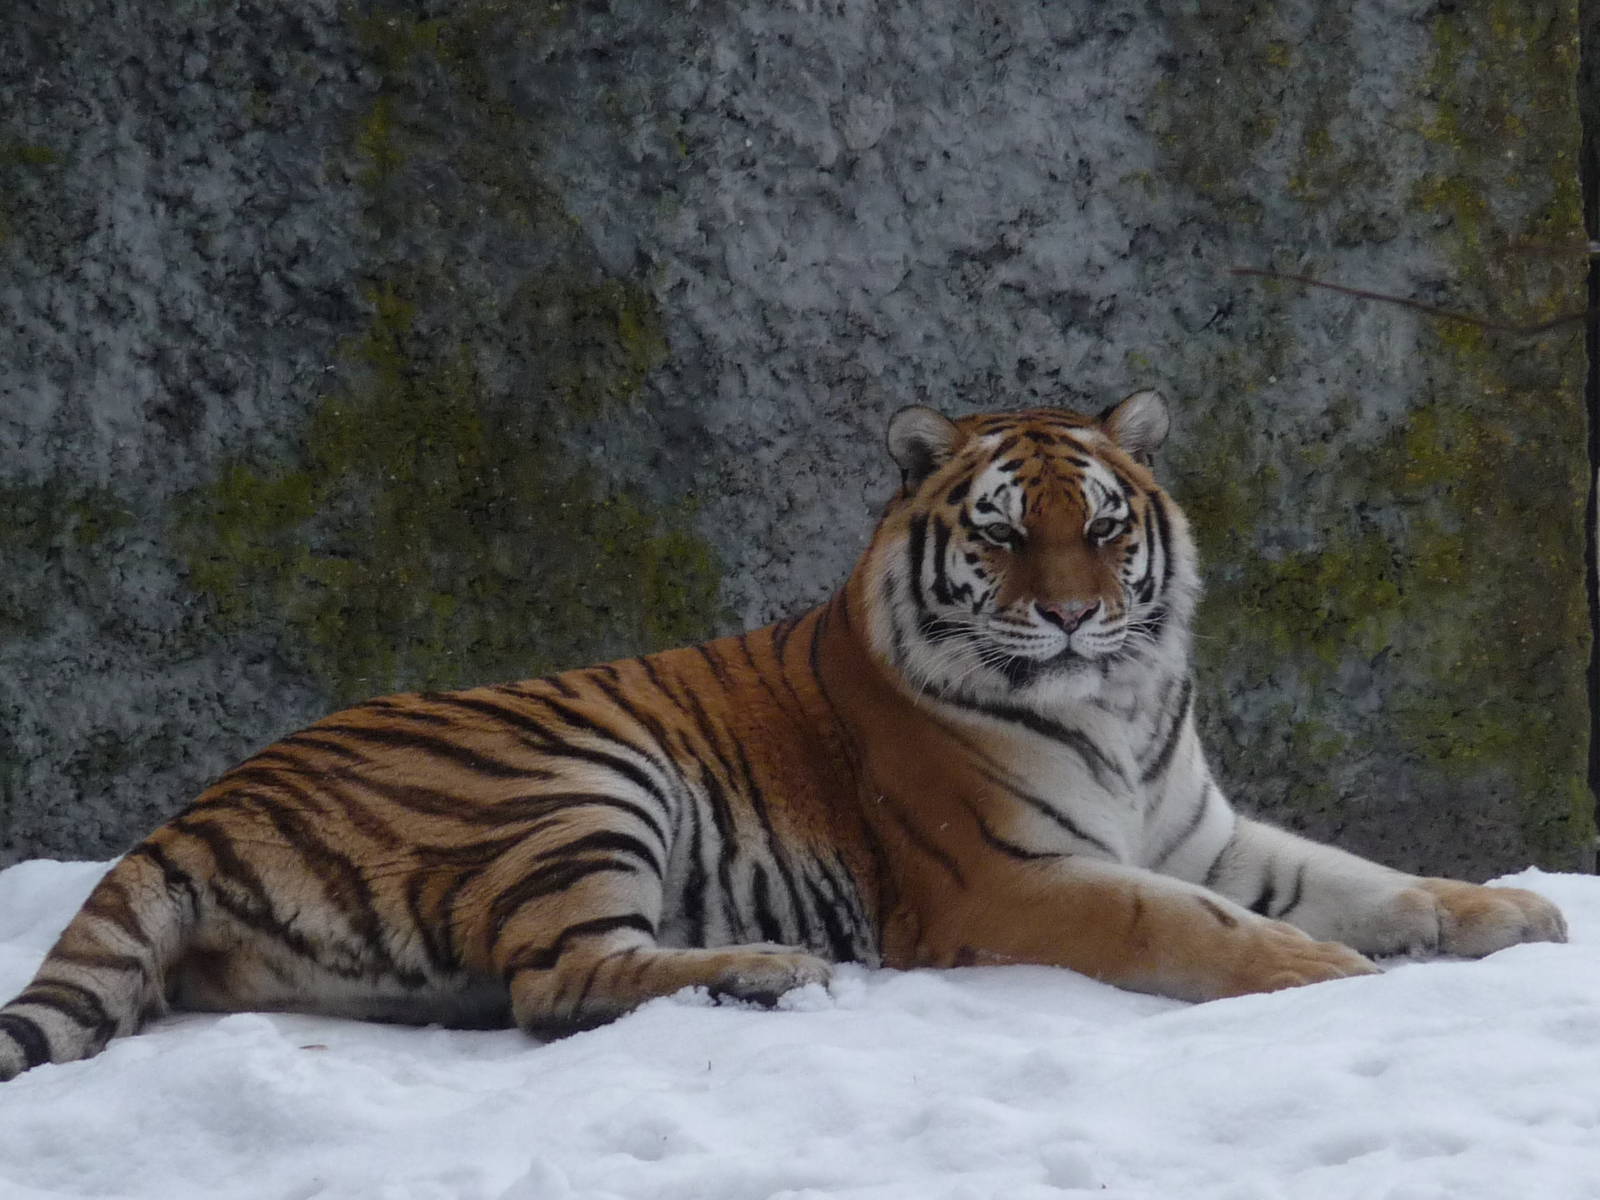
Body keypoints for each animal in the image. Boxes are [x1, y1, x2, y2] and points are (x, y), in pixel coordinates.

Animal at [0, 390, 1567, 1081]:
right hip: (579, 777)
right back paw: (772, 971)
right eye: (1005, 533)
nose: (1071, 618)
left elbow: (1356, 876)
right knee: (556, 982)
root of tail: (197, 805)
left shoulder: (1201, 829)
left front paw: (1507, 915)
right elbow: (1194, 925)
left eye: (1106, 526)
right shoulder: (1010, 882)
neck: (1117, 710)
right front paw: (1319, 975)